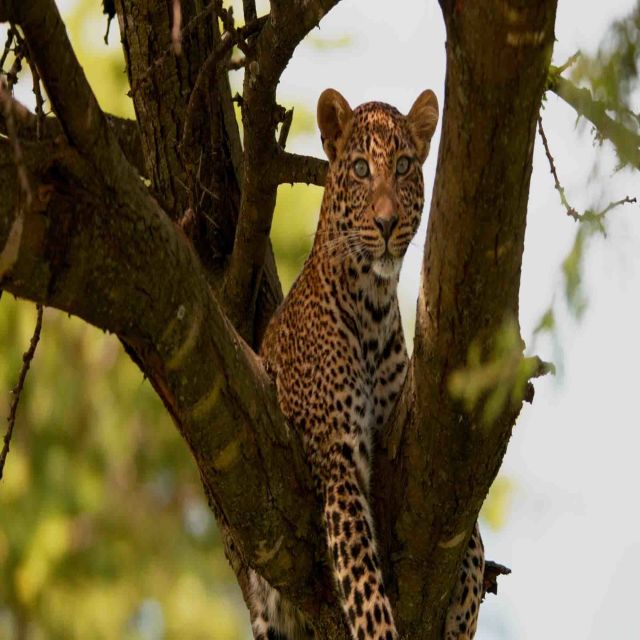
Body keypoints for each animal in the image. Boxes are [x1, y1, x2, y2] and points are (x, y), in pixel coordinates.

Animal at [249, 88, 485, 640]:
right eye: (359, 168)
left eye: (403, 166)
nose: (385, 222)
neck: (373, 302)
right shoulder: (338, 462)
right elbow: (367, 594)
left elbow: (476, 544)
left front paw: (463, 614)